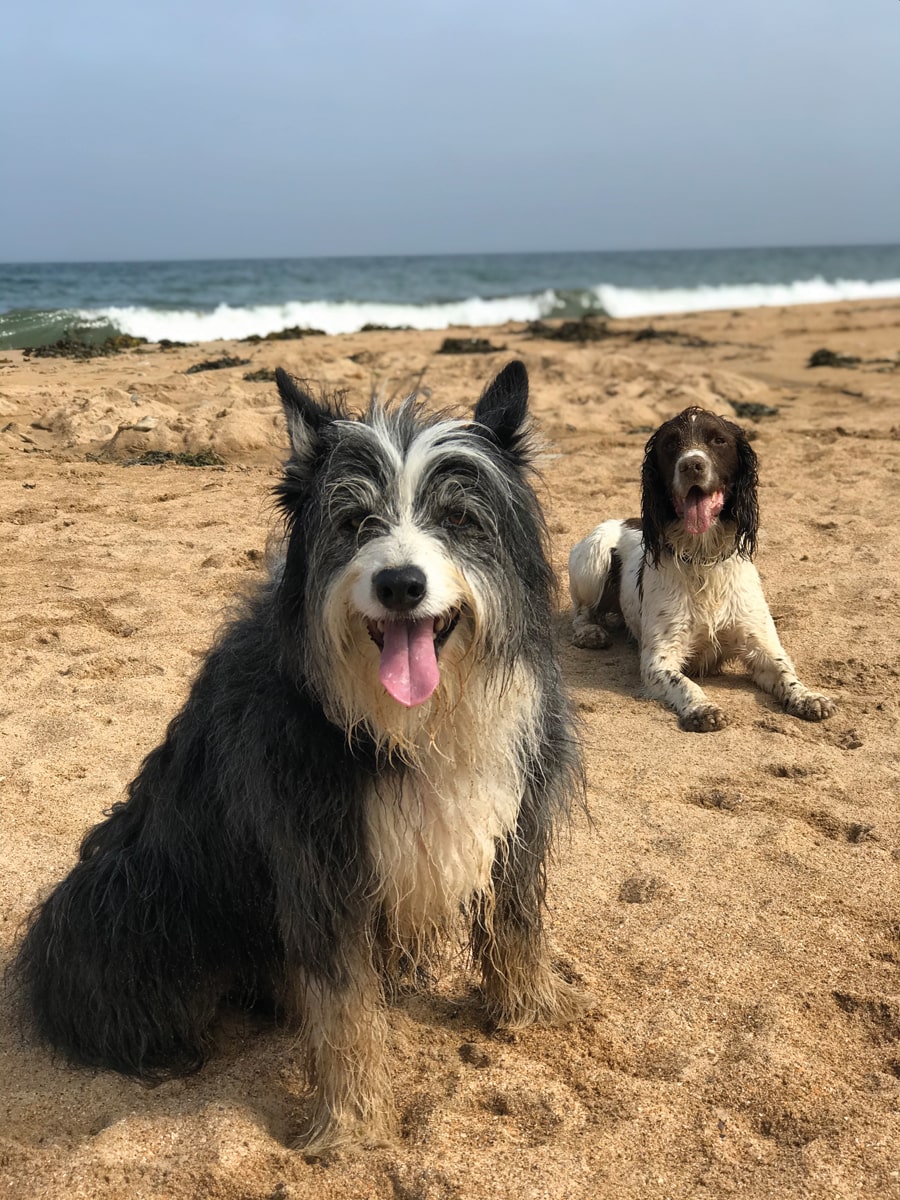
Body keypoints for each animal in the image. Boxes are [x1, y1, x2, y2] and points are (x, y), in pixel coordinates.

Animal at [17, 357, 592, 1152]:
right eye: (353, 523)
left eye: (457, 518)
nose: (400, 583)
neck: (405, 724)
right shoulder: (321, 861)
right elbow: (343, 1004)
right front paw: (350, 1123)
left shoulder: (515, 814)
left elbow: (513, 926)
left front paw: (528, 1013)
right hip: (129, 901)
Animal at [571, 408, 840, 729]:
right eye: (671, 443)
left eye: (718, 440)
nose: (692, 465)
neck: (702, 557)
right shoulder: (659, 657)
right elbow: (684, 682)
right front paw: (702, 708)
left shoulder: (761, 645)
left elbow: (785, 671)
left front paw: (808, 697)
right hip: (593, 558)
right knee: (581, 612)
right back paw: (590, 633)